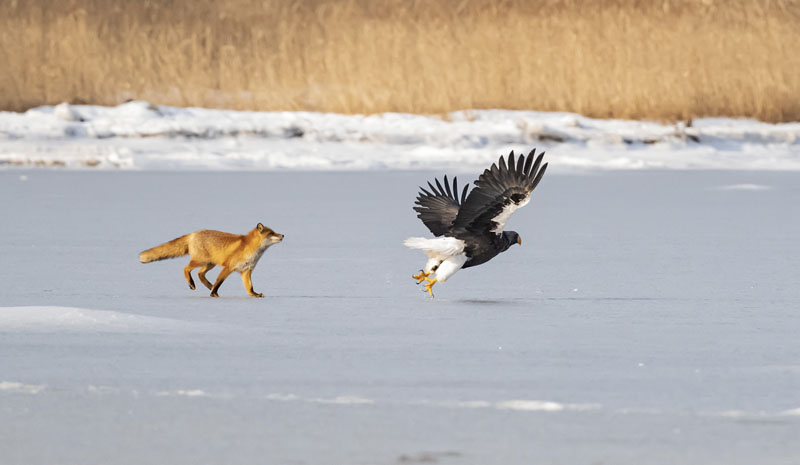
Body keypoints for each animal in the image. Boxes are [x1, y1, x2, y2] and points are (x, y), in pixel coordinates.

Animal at [139, 223, 284, 298]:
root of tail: (193, 233)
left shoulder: (246, 271)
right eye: (271, 233)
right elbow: (219, 281)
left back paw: (209, 286)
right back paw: (193, 284)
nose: (283, 235)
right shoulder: (228, 267)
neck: (252, 250)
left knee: (200, 274)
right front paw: (214, 294)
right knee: (186, 268)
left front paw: (255, 295)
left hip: (210, 264)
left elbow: (250, 287)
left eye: (274, 231)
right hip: (201, 261)